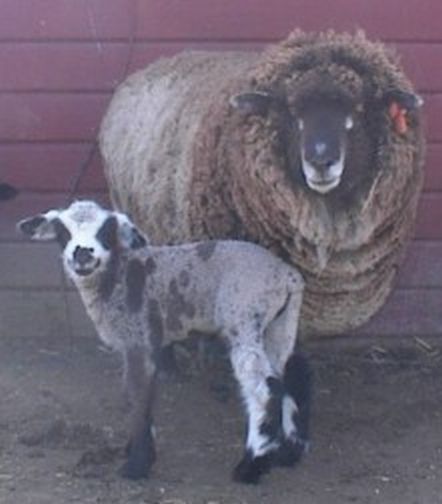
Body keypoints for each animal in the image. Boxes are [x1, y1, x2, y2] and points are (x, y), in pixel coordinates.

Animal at [18, 200, 310, 484]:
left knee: (264, 388)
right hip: (280, 323)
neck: (117, 276)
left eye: (106, 230)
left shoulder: (139, 338)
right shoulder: (136, 344)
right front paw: (135, 449)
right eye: (62, 231)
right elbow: (134, 394)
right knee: (290, 373)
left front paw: (137, 464)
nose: (82, 254)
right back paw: (288, 453)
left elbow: (139, 395)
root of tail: (287, 276)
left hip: (244, 317)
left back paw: (251, 466)